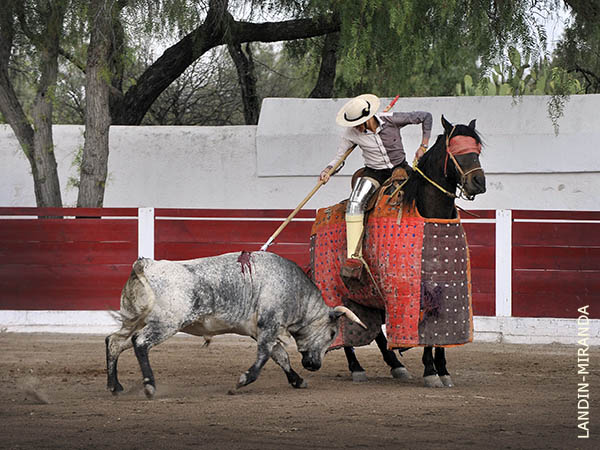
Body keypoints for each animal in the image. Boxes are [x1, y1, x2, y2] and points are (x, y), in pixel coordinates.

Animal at [105, 250, 364, 398]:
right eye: (332, 333)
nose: (315, 366)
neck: (297, 292)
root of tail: (146, 265)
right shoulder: (269, 326)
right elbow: (264, 357)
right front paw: (242, 381)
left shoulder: (261, 330)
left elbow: (280, 356)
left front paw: (297, 380)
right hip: (165, 324)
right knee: (140, 343)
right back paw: (149, 386)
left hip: (134, 320)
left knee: (115, 342)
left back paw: (114, 386)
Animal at [312, 116, 486, 386]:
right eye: (455, 150)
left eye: (477, 150)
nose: (478, 182)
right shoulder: (408, 291)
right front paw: (431, 371)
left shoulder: (446, 287)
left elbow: (439, 330)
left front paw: (442, 370)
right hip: (333, 288)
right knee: (341, 327)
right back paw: (357, 368)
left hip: (367, 297)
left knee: (371, 329)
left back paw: (396, 365)